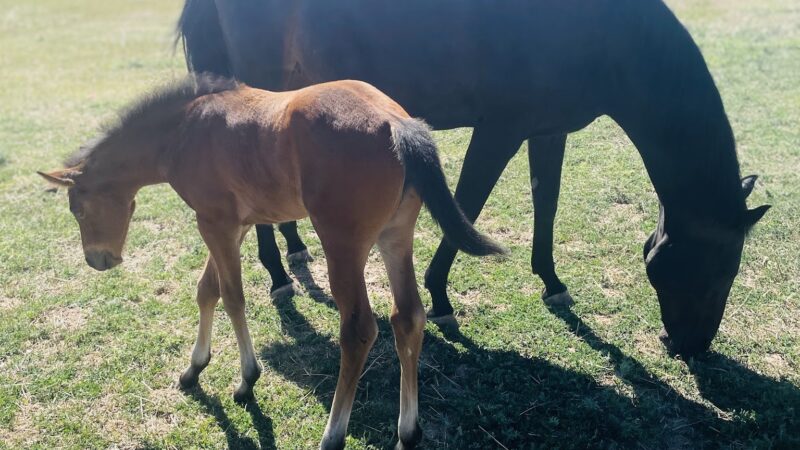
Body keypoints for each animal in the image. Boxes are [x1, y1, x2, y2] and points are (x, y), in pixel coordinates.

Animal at [38, 75, 503, 450]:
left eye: (77, 209)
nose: (98, 260)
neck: (184, 131)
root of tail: (397, 123)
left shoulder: (213, 222)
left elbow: (232, 297)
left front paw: (246, 379)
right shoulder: (234, 224)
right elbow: (206, 290)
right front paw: (194, 368)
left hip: (342, 245)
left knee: (358, 330)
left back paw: (333, 434)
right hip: (395, 237)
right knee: (407, 317)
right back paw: (408, 430)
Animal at [177, 0, 770, 356]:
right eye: (718, 269)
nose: (692, 346)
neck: (604, 34)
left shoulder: (548, 130)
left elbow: (546, 202)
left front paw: (551, 282)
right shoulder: (499, 130)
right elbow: (468, 203)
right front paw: (440, 296)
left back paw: (293, 249)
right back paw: (277, 272)